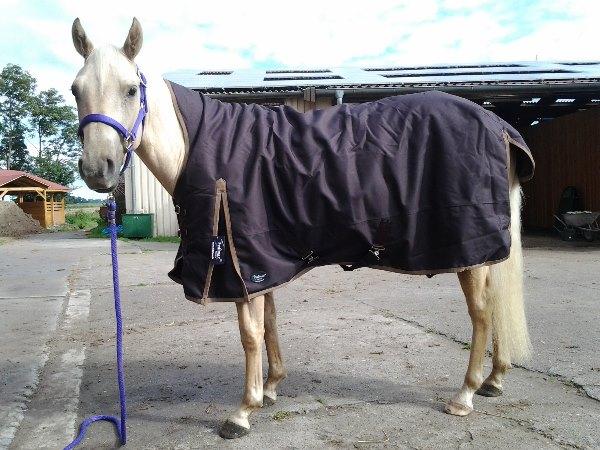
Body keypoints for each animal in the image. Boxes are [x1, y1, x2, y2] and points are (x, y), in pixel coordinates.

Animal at [71, 18, 536, 440]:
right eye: (76, 90)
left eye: (131, 89)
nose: (97, 169)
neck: (198, 145)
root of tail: (499, 126)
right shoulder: (260, 263)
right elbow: (270, 323)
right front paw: (271, 387)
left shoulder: (240, 264)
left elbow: (250, 335)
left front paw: (243, 412)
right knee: (496, 306)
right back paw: (495, 379)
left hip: (471, 253)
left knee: (481, 314)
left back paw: (465, 394)